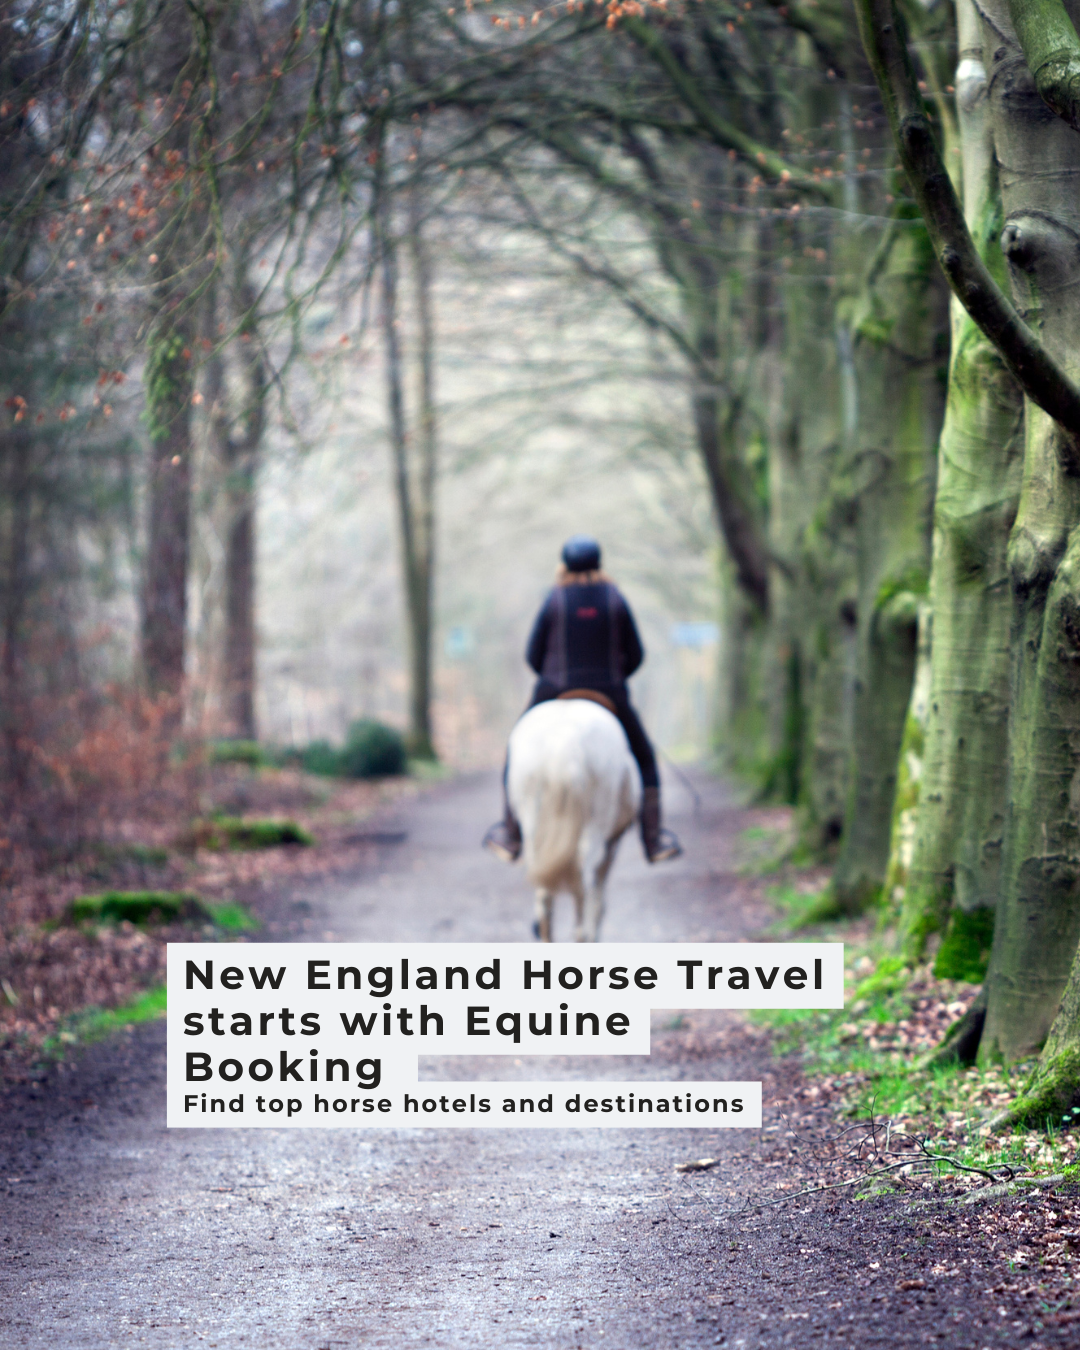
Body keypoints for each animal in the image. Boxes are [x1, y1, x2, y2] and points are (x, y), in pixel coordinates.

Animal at [506, 695, 641, 942]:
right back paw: (583, 935)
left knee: (545, 897)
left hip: (532, 824)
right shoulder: (612, 844)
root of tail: (563, 739)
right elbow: (599, 902)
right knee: (583, 886)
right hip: (595, 827)